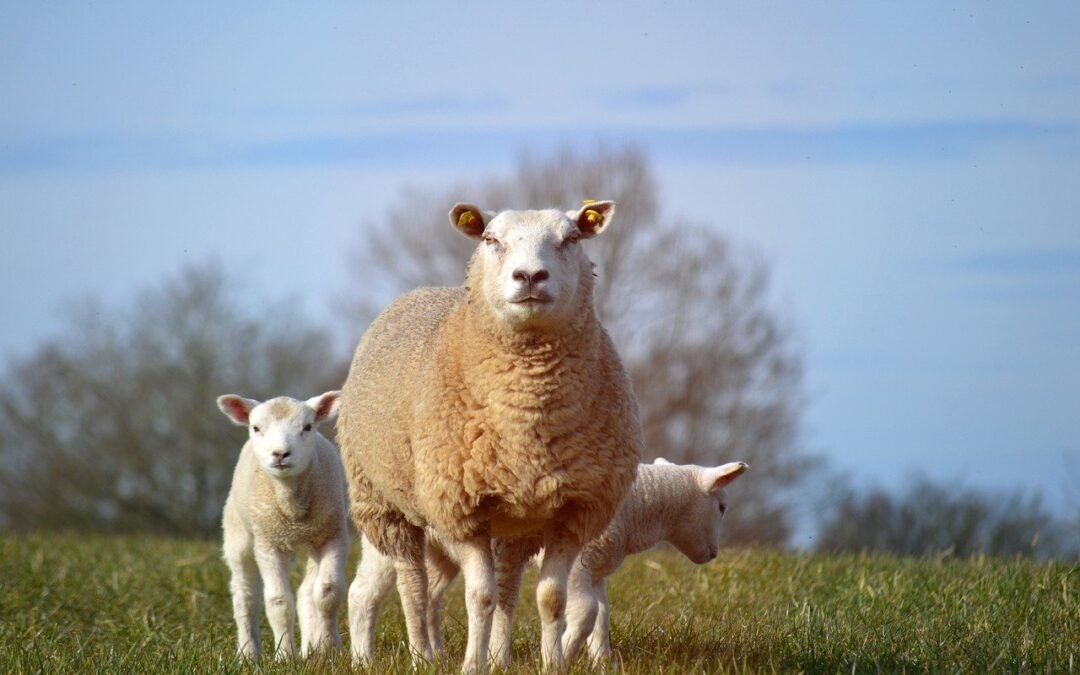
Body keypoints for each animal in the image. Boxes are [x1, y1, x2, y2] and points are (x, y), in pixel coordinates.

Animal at [211, 388, 343, 656]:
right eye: (256, 428)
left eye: (307, 426)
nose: (280, 453)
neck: (292, 510)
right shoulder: (268, 543)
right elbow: (279, 602)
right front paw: (284, 656)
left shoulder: (332, 535)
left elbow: (327, 593)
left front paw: (327, 650)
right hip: (238, 535)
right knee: (245, 596)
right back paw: (247, 653)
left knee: (306, 593)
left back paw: (309, 650)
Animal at [336, 198, 639, 669]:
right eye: (490, 239)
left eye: (571, 238)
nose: (530, 276)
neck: (526, 417)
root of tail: (419, 291)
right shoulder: (462, 509)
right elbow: (478, 597)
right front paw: (470, 666)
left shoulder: (574, 511)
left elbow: (549, 599)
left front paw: (552, 665)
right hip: (384, 503)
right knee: (412, 583)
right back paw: (420, 656)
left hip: (517, 521)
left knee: (507, 585)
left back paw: (499, 658)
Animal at [349, 455, 747, 665]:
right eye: (722, 507)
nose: (713, 554)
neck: (639, 507)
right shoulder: (581, 563)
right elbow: (586, 611)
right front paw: (565, 652)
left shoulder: (597, 569)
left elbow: (602, 613)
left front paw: (601, 660)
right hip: (385, 537)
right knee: (362, 595)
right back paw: (364, 659)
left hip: (442, 552)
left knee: (432, 596)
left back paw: (439, 656)